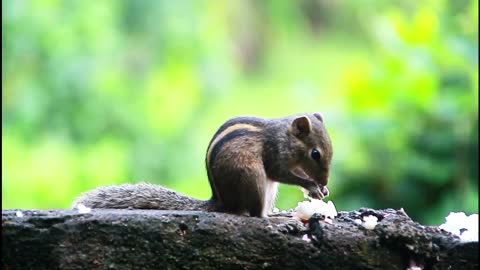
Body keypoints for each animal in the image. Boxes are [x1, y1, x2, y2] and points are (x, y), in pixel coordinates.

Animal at [72, 113, 334, 218]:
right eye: (315, 154)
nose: (325, 182)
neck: (285, 136)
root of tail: (222, 202)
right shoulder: (275, 154)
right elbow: (282, 173)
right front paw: (311, 186)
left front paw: (321, 190)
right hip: (254, 178)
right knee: (256, 215)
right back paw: (276, 219)